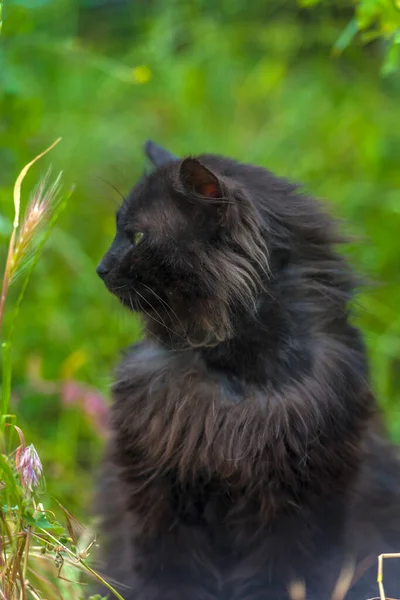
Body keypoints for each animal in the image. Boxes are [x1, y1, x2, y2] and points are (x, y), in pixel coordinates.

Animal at [94, 143, 400, 596]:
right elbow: (169, 576)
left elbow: (281, 577)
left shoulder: (299, 507)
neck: (237, 382)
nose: (100, 267)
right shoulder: (159, 498)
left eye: (135, 236)